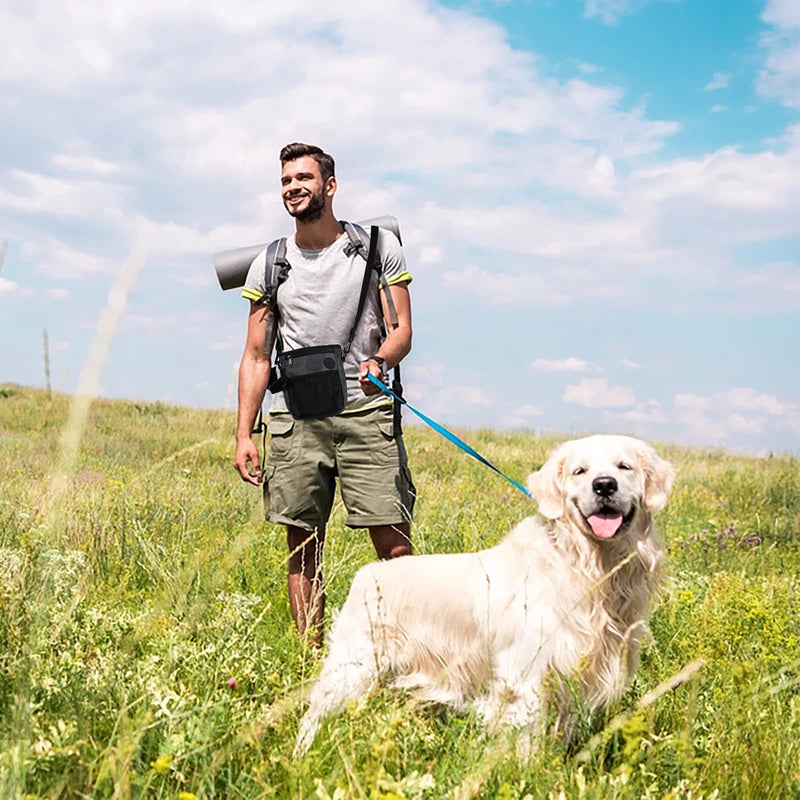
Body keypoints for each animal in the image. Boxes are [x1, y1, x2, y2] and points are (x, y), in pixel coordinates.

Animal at [290, 434, 672, 752]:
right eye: (580, 471)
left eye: (624, 466)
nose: (604, 485)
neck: (586, 566)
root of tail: (368, 573)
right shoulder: (526, 677)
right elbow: (526, 744)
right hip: (352, 666)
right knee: (313, 715)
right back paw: (301, 756)